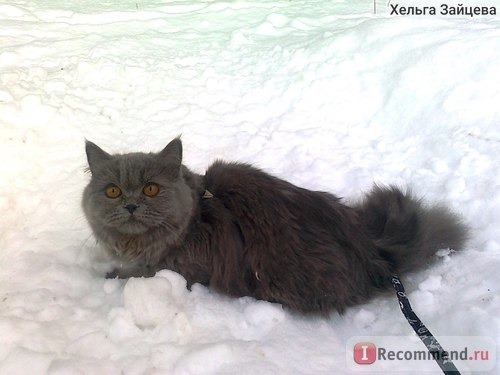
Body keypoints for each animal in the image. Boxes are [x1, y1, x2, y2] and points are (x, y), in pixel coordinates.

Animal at [80, 138, 466, 314]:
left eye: (151, 189)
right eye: (113, 191)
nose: (131, 205)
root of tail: (373, 248)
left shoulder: (181, 270)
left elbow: (132, 274)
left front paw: (109, 276)